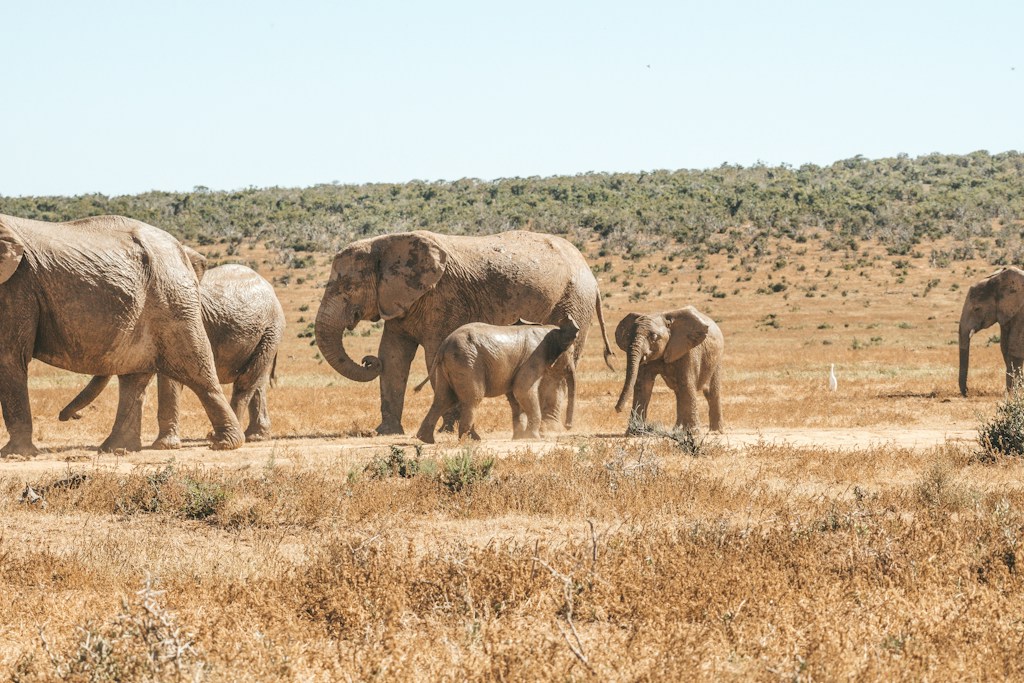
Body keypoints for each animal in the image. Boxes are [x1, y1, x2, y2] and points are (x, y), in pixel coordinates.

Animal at [0, 213, 243, 455]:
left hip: (173, 299)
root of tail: (180, 249)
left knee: (196, 369)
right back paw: (118, 448)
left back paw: (224, 444)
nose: (70, 417)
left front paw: (14, 454)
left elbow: (10, 357)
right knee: (133, 377)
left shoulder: (17, 285)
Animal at [57, 263, 286, 448]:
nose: (72, 416)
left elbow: (170, 380)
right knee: (258, 383)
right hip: (266, 335)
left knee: (246, 382)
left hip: (271, 329)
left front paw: (163, 446)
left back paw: (218, 437)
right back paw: (255, 437)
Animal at [415, 318, 579, 442]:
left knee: (444, 399)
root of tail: (443, 346)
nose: (568, 426)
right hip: (467, 362)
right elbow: (522, 391)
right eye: (571, 354)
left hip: (449, 367)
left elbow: (515, 397)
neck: (550, 331)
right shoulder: (534, 358)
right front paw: (533, 438)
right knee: (472, 399)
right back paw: (469, 440)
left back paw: (426, 439)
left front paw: (519, 438)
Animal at [958, 266, 1024, 396]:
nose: (967, 392)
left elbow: (1015, 349)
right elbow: (1004, 348)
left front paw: (1013, 393)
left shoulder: (1021, 313)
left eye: (977, 309)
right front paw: (1012, 391)